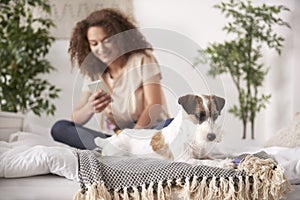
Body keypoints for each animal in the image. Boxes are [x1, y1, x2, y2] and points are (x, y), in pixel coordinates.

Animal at [95, 94, 229, 164]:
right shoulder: (185, 159)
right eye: (198, 116)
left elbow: (213, 159)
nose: (212, 136)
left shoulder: (202, 155)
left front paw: (223, 160)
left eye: (215, 115)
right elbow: (206, 162)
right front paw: (225, 164)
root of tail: (114, 136)